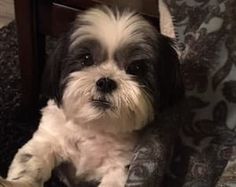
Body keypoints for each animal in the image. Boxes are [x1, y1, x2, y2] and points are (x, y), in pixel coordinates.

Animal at [0, 5, 184, 187]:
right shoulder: (47, 139)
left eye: (136, 68)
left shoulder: (120, 166)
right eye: (86, 59)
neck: (94, 127)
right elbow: (30, 162)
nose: (106, 82)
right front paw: (16, 183)